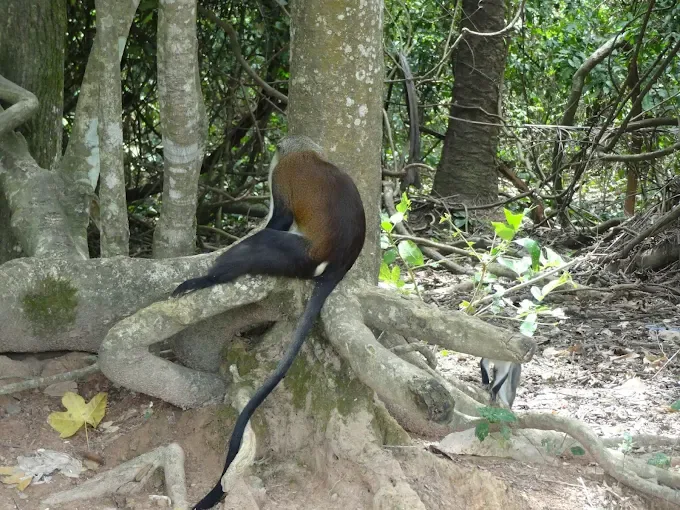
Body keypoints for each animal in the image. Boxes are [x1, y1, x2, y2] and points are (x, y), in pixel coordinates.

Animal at [172, 135, 366, 510]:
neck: (307, 152)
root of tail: (337, 264)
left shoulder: (281, 178)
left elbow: (281, 218)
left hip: (297, 257)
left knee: (260, 246)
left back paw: (208, 278)